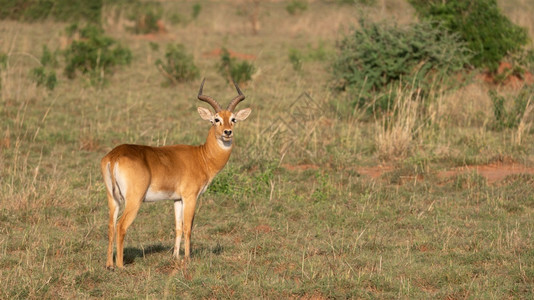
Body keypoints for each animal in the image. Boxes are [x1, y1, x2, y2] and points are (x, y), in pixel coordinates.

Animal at [101, 78, 252, 268]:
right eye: (216, 119)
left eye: (233, 119)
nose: (227, 132)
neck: (202, 157)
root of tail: (114, 156)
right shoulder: (190, 197)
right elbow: (188, 227)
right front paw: (188, 258)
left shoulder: (177, 199)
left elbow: (178, 227)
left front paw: (175, 256)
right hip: (134, 200)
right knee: (121, 226)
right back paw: (120, 266)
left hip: (113, 199)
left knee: (110, 226)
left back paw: (109, 265)